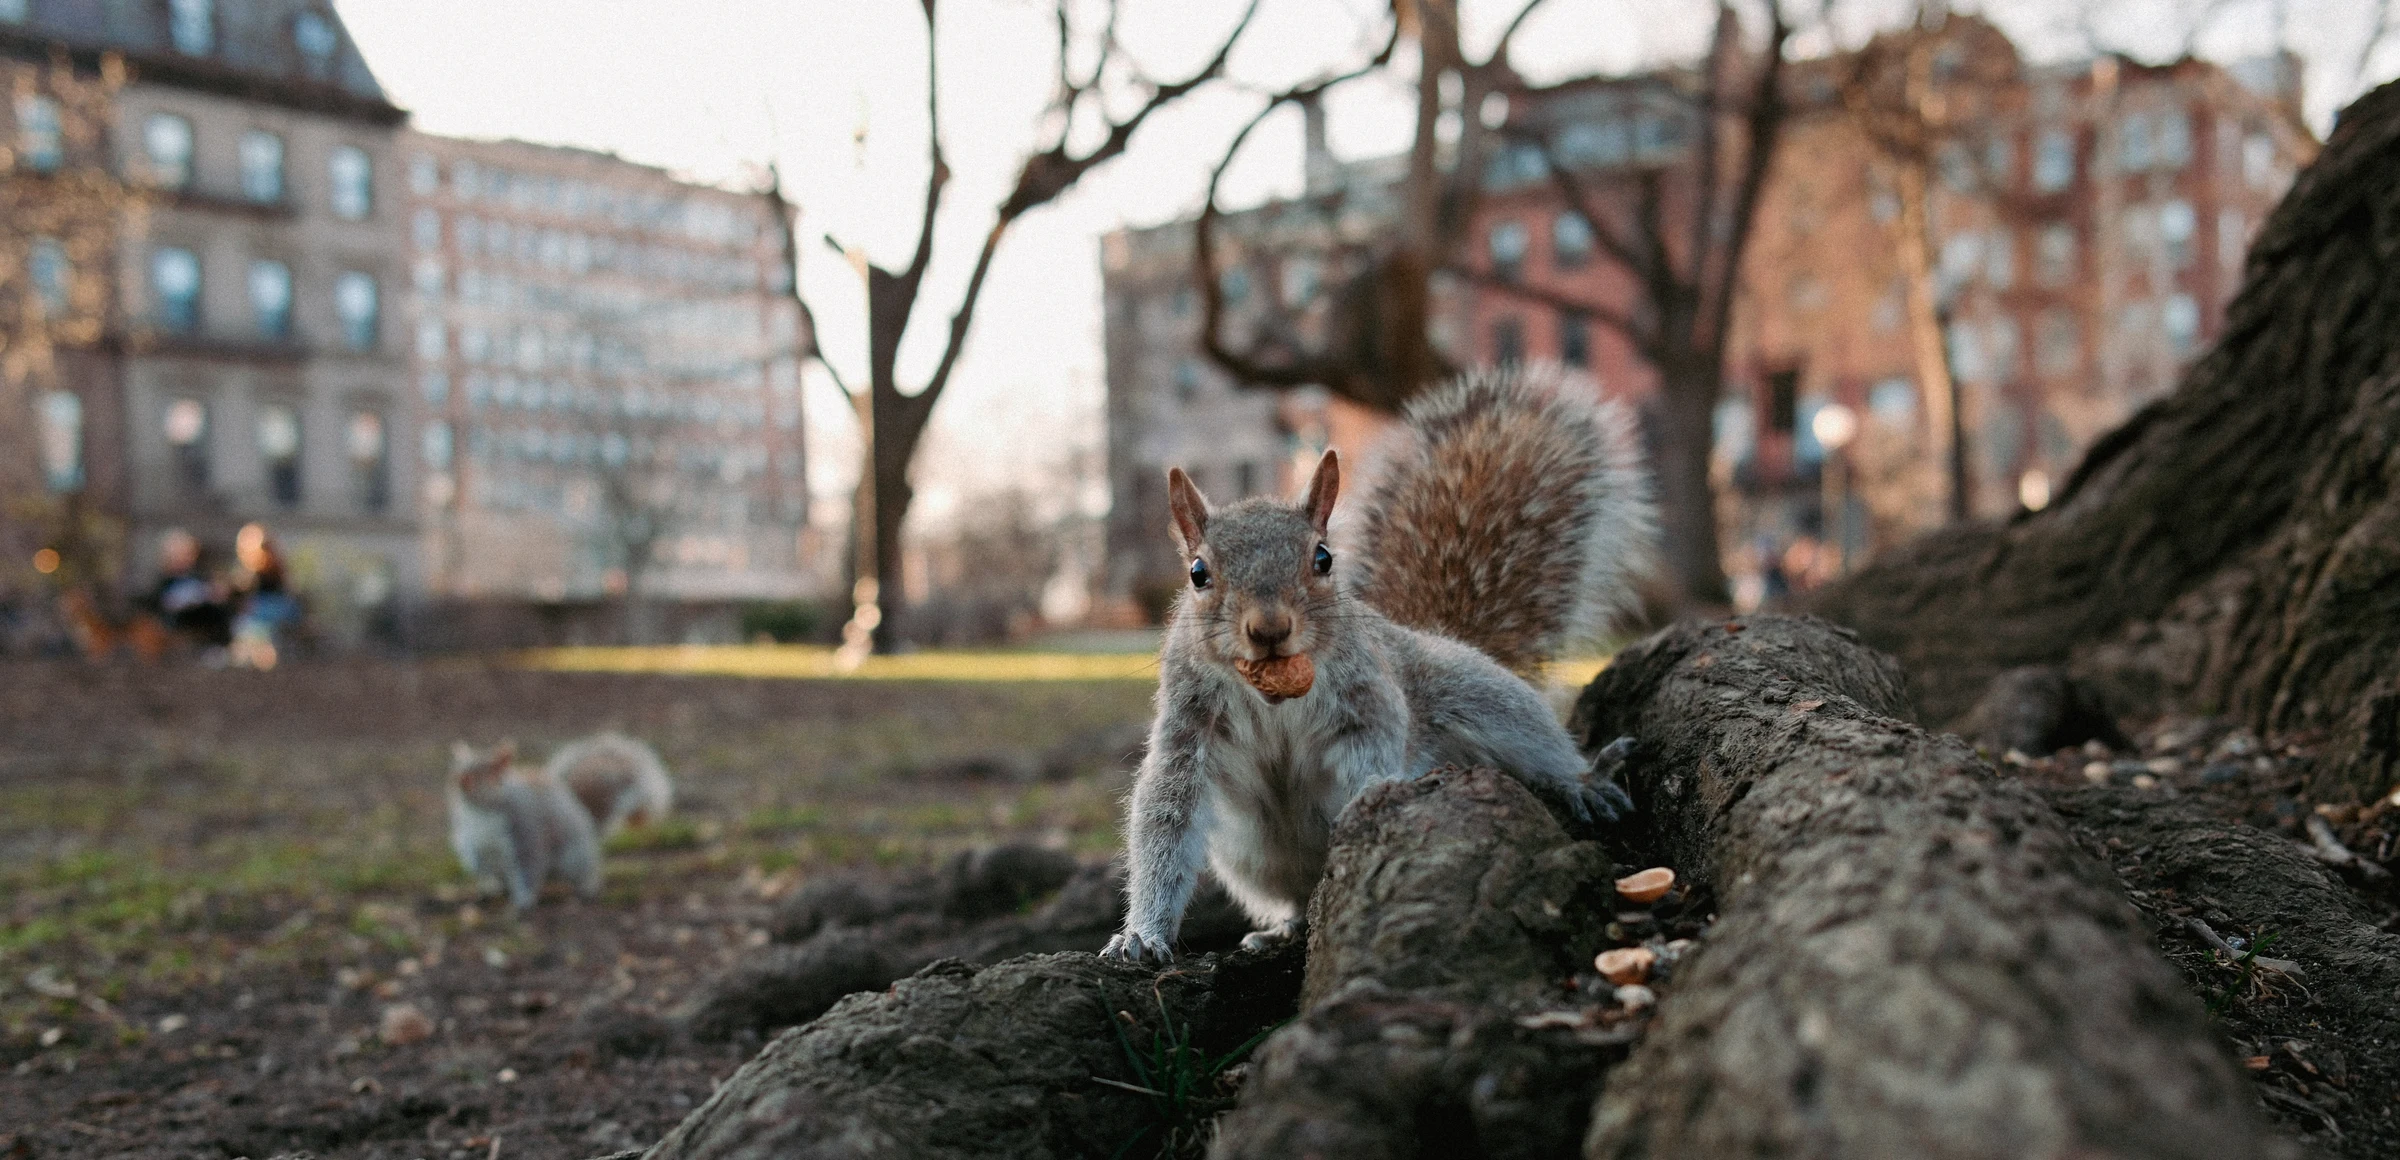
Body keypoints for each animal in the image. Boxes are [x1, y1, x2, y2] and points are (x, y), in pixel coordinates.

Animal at [446, 740, 603, 910]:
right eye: (455, 772)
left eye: (490, 773)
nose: (460, 782)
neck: (481, 810)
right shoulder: (470, 840)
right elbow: (482, 869)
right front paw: (488, 888)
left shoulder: (525, 832)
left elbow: (527, 871)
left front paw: (523, 901)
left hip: (573, 857)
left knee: (586, 870)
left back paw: (587, 887)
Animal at [1103, 364, 1654, 963]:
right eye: (1198, 573)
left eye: (1323, 559)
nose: (1269, 630)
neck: (1273, 697)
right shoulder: (1189, 725)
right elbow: (1166, 820)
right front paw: (1143, 934)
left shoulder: (1366, 699)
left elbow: (1372, 755)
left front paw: (1367, 802)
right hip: (1253, 856)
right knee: (1295, 895)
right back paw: (1285, 926)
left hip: (1478, 693)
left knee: (1534, 740)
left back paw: (1584, 778)